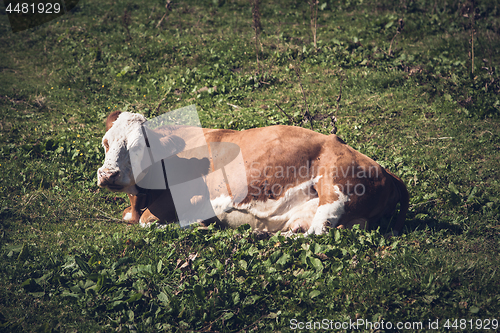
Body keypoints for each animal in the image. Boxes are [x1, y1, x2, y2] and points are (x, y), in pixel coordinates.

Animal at [98, 110, 410, 235]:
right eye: (106, 142)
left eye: (139, 147)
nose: (108, 174)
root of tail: (385, 170)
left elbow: (147, 221)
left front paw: (200, 225)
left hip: (335, 188)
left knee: (319, 232)